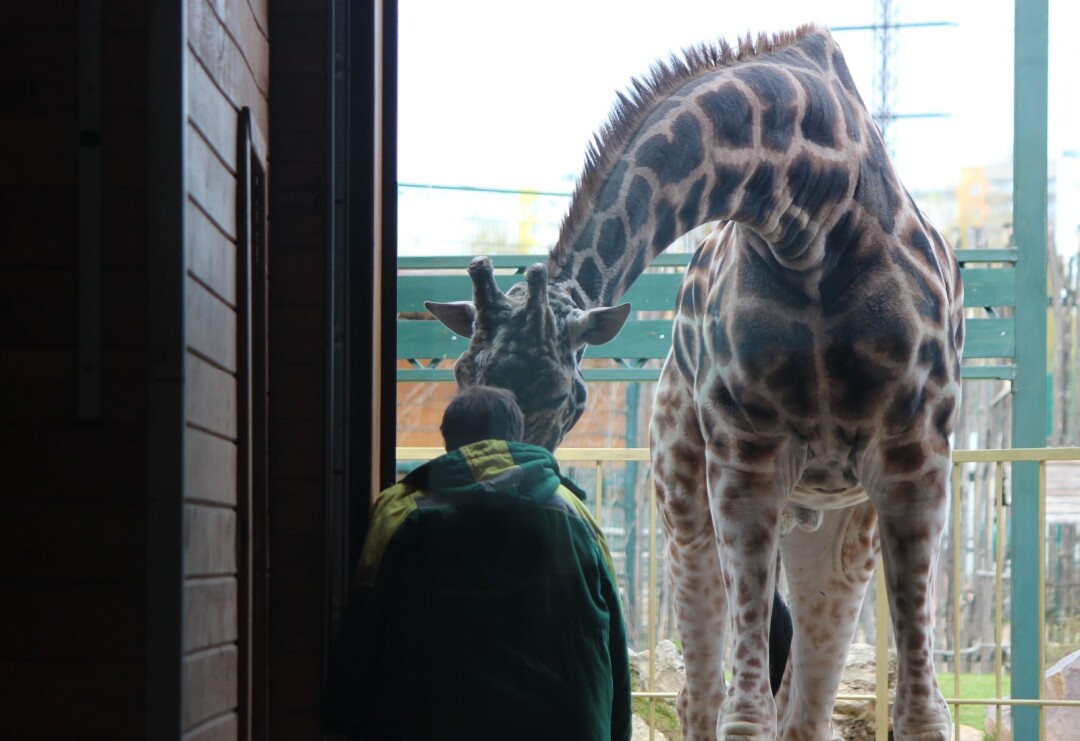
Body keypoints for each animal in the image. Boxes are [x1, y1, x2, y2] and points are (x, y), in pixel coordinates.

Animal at [423, 24, 963, 741]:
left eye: (566, 396)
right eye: (462, 374)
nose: (496, 517)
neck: (812, 215)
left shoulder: (914, 455)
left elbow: (921, 711)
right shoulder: (744, 456)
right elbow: (741, 710)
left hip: (842, 525)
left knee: (805, 702)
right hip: (684, 495)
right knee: (705, 693)